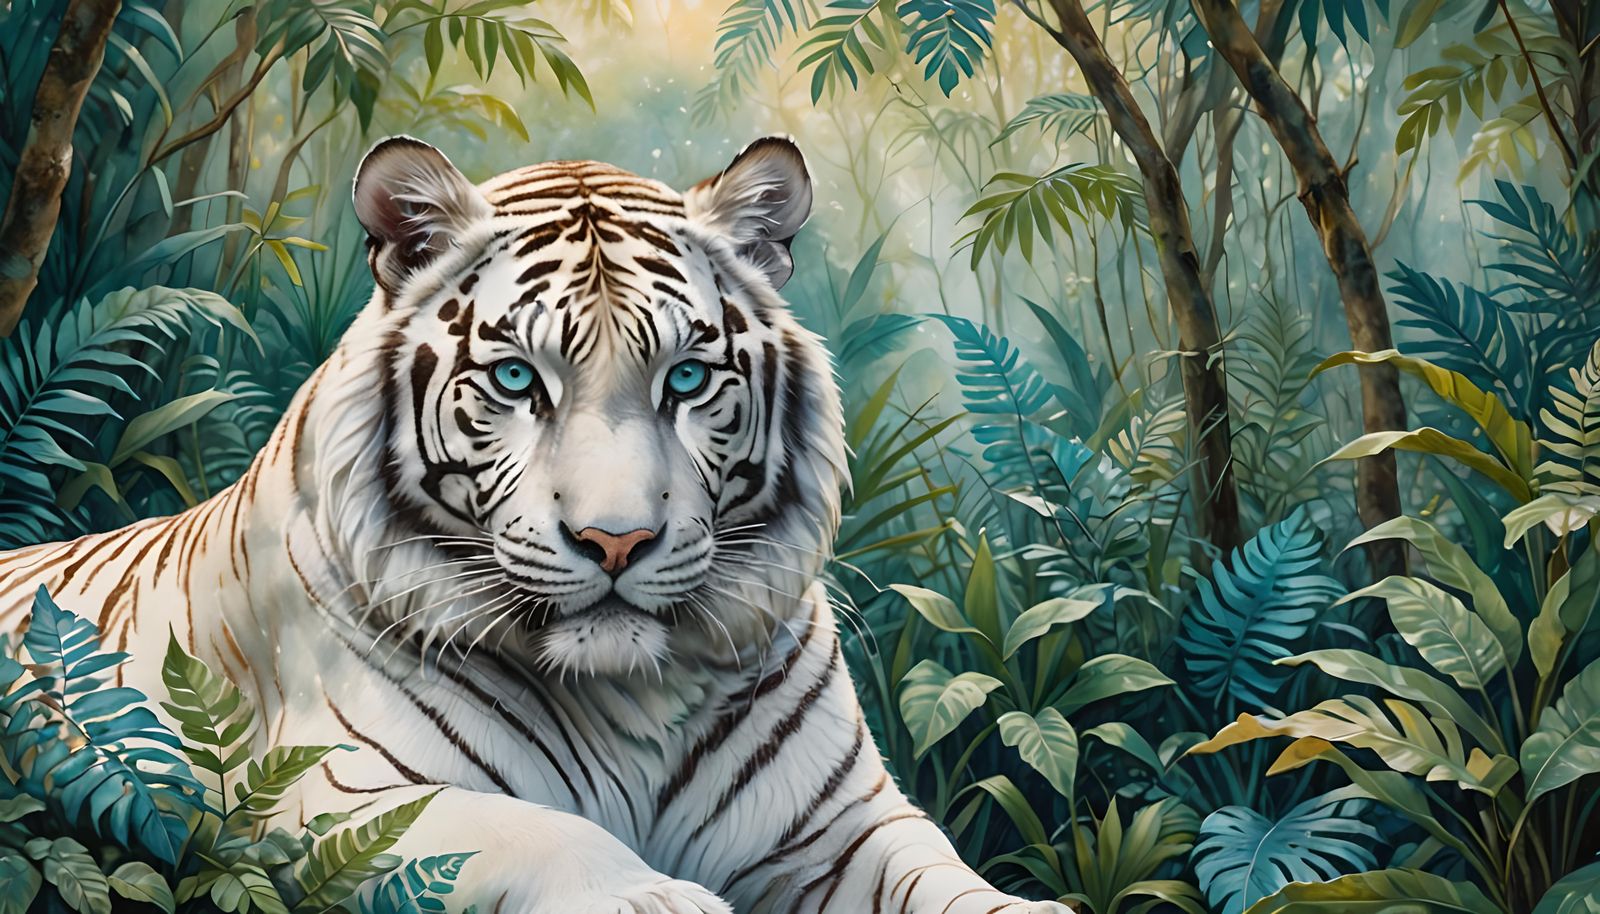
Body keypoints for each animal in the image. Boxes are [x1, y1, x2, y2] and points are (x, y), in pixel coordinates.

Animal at [0, 136, 1069, 914]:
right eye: (517, 379)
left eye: (687, 378)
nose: (616, 542)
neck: (638, 696)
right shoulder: (321, 800)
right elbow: (540, 830)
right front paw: (661, 901)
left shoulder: (845, 825)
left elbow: (948, 878)